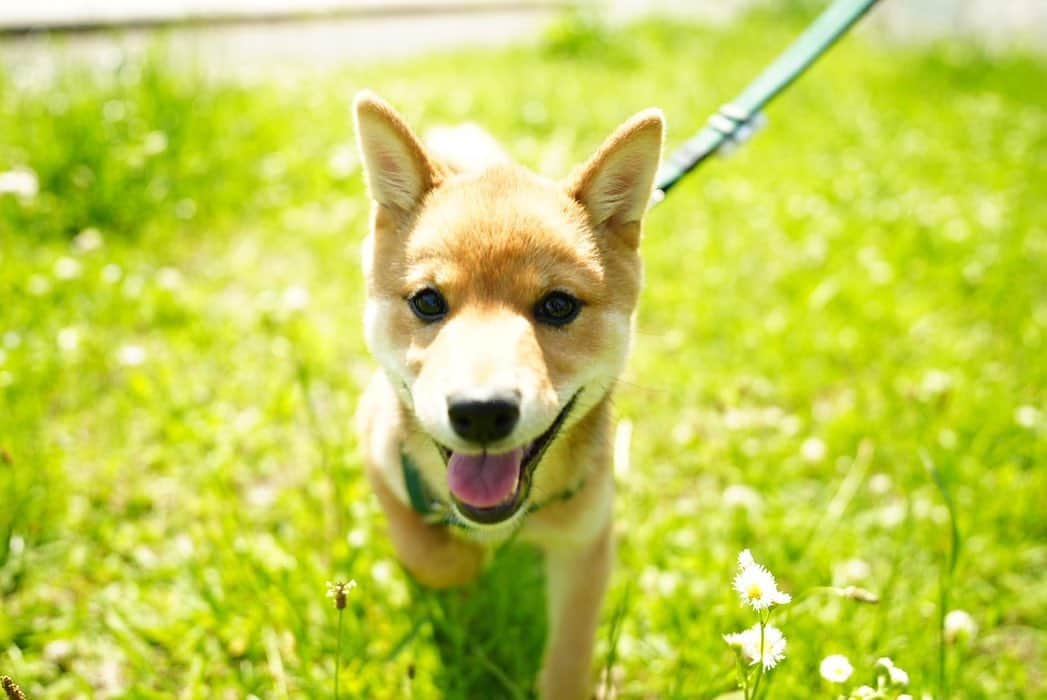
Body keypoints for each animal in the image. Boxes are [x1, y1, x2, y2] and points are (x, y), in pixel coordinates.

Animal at [351, 92, 661, 698]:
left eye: (558, 305)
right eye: (427, 301)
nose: (481, 413)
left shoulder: (587, 539)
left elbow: (569, 654)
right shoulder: (377, 454)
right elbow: (432, 555)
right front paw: (464, 577)